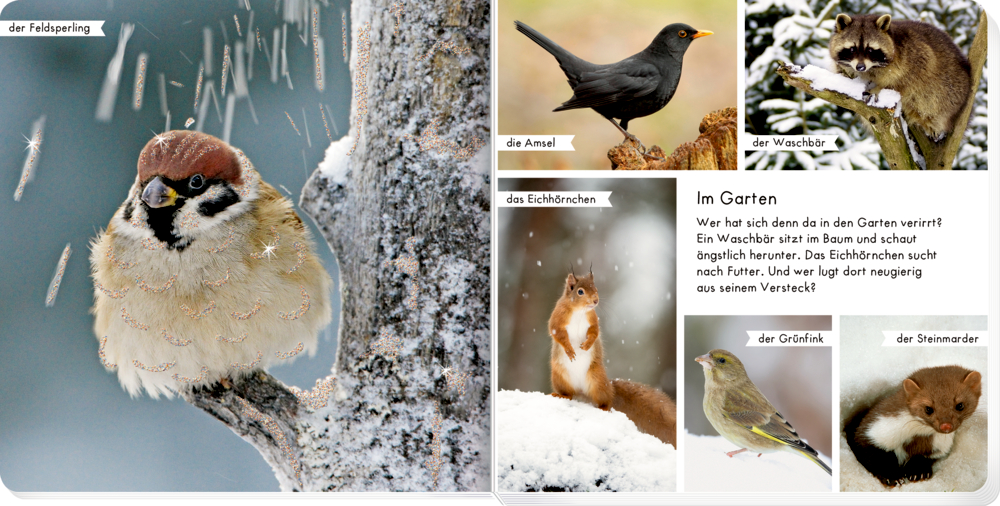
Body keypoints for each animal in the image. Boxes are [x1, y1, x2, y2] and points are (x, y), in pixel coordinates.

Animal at [548, 268, 676, 447]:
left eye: (595, 288)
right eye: (580, 291)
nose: (595, 300)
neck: (580, 311)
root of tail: (582, 392)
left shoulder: (593, 319)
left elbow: (595, 332)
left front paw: (587, 345)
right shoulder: (557, 316)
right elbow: (555, 331)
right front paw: (569, 350)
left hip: (597, 381)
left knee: (606, 401)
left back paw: (603, 407)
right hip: (560, 377)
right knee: (569, 394)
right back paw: (562, 395)